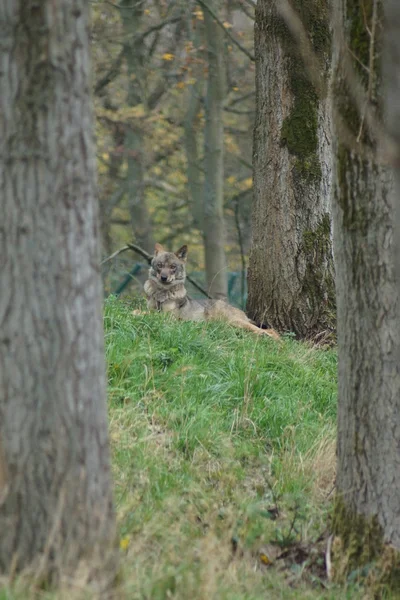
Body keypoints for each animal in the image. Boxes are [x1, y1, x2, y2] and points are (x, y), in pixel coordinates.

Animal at [145, 243, 282, 338]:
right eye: (160, 265)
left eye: (173, 267)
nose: (163, 277)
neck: (161, 294)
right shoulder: (155, 310)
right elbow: (146, 311)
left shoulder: (169, 318)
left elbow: (146, 313)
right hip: (231, 325)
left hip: (235, 322)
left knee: (269, 331)